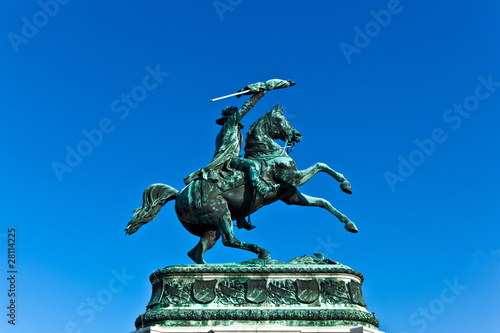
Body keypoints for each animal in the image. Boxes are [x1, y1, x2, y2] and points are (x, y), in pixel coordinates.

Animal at [126, 102, 360, 264]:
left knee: (196, 252)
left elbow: (323, 202)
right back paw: (261, 253)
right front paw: (345, 184)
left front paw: (350, 223)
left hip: (211, 227)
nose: (298, 135)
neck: (267, 152)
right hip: (221, 213)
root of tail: (178, 195)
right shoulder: (292, 178)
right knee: (229, 240)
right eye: (281, 119)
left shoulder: (292, 195)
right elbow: (321, 165)